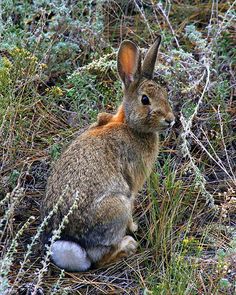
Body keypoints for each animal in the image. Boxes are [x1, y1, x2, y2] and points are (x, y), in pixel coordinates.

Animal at [41, 35, 175, 272]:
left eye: (165, 94)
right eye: (145, 100)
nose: (170, 119)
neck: (130, 125)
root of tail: (71, 243)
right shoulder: (132, 185)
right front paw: (134, 226)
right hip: (117, 206)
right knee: (100, 259)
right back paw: (128, 245)